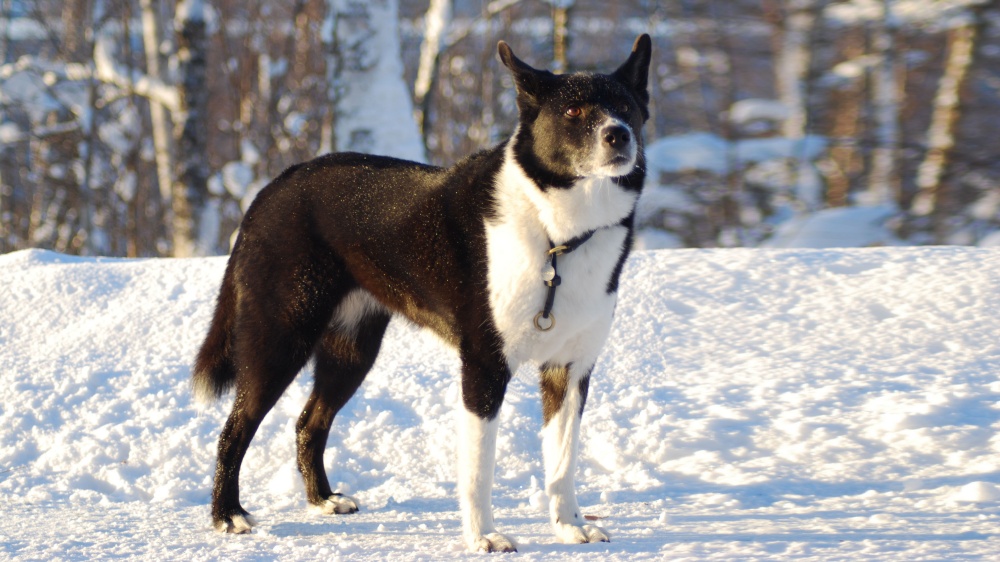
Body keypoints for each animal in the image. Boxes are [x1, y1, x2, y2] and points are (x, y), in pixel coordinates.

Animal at [192, 35, 652, 552]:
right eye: (573, 110)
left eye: (626, 107)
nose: (618, 135)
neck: (557, 233)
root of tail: (274, 186)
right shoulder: (484, 368)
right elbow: (479, 469)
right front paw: (484, 536)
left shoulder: (570, 371)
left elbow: (563, 461)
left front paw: (570, 525)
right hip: (280, 338)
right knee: (234, 429)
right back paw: (227, 515)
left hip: (351, 349)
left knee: (309, 423)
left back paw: (323, 500)